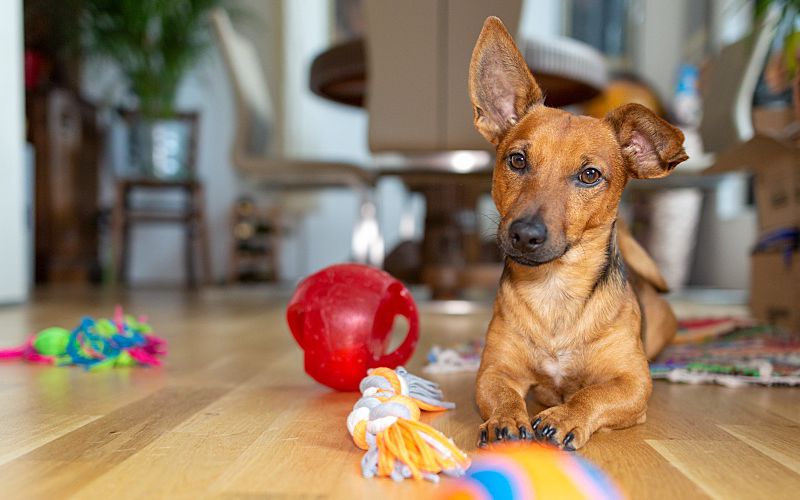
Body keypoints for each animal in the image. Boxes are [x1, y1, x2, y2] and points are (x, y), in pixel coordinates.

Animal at [468, 17, 688, 452]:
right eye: (516, 160)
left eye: (589, 175)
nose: (525, 234)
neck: (555, 291)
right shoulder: (494, 370)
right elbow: (502, 395)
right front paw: (506, 419)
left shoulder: (633, 383)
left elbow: (592, 394)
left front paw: (566, 416)